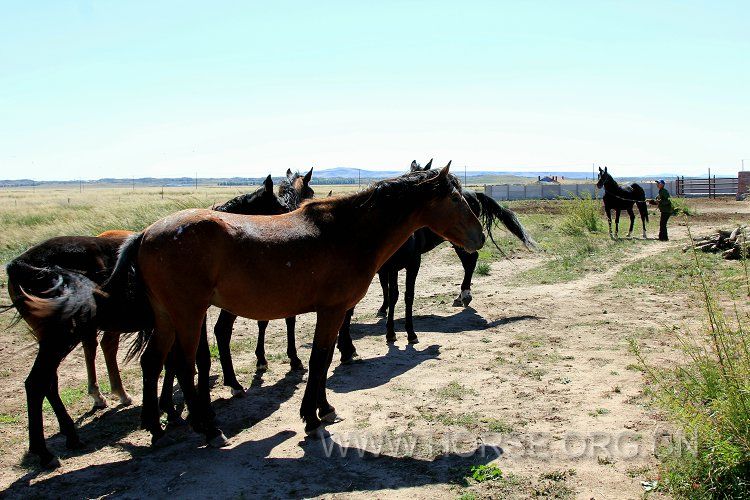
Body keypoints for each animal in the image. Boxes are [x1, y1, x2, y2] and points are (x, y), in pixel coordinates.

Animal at [101, 164, 488, 442]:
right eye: (455, 199)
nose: (480, 236)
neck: (346, 232)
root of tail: (145, 234)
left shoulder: (331, 313)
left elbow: (325, 360)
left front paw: (322, 408)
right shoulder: (332, 311)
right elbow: (319, 361)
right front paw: (312, 418)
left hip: (167, 316)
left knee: (153, 362)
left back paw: (156, 427)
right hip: (188, 314)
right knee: (183, 365)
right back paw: (208, 428)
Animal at [334, 160, 536, 360]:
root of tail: (474, 193)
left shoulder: (411, 263)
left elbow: (405, 296)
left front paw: (407, 334)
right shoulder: (387, 267)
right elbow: (388, 294)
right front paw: (381, 329)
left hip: (459, 242)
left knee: (470, 261)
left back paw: (465, 294)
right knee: (469, 262)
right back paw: (461, 296)